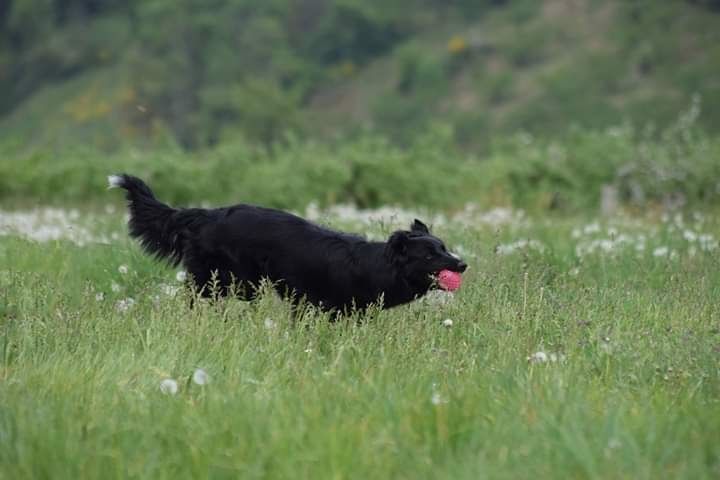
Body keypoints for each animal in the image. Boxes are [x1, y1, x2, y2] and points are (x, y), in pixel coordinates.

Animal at [109, 174, 467, 314]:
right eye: (430, 255)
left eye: (444, 247)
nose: (463, 264)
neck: (375, 263)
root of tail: (206, 215)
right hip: (230, 282)